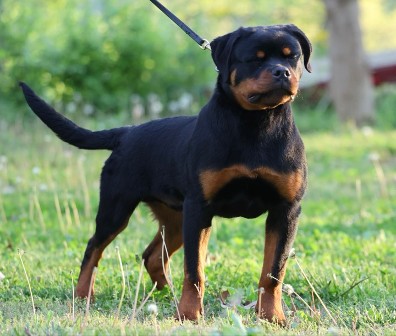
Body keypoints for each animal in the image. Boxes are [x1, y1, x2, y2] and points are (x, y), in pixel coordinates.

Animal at [20, 23, 312, 322]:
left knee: (151, 256)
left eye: (292, 56)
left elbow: (273, 272)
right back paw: (83, 294)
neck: (256, 124)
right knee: (94, 247)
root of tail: (126, 133)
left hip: (174, 219)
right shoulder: (199, 208)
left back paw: (164, 293)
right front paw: (189, 314)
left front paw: (272, 316)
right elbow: (195, 271)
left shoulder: (285, 210)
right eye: (255, 58)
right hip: (118, 208)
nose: (281, 71)